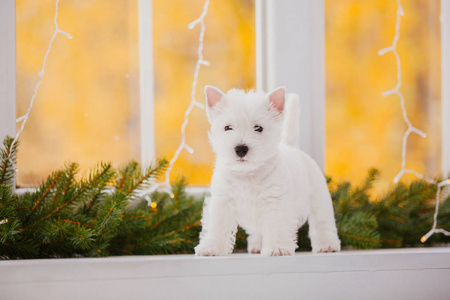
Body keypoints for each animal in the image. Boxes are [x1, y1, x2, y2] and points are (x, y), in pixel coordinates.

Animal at [194, 86, 342, 255]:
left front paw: (277, 248)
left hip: (318, 197)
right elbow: (217, 225)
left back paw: (327, 245)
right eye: (227, 127)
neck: (247, 174)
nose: (241, 149)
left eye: (258, 128)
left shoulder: (275, 201)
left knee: (322, 221)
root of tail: (292, 146)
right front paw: (210, 247)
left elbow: (275, 225)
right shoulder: (223, 200)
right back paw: (257, 244)